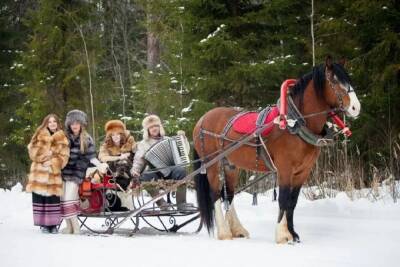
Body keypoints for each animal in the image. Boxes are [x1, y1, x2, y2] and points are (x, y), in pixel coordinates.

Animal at [192, 57, 360, 244]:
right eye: (335, 81)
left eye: (349, 79)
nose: (356, 107)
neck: (296, 123)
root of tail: (202, 119)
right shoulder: (285, 168)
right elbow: (283, 199)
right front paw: (282, 235)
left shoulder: (303, 171)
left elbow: (292, 202)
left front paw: (293, 234)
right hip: (211, 164)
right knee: (214, 194)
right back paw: (224, 233)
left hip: (230, 166)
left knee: (228, 195)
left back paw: (237, 230)